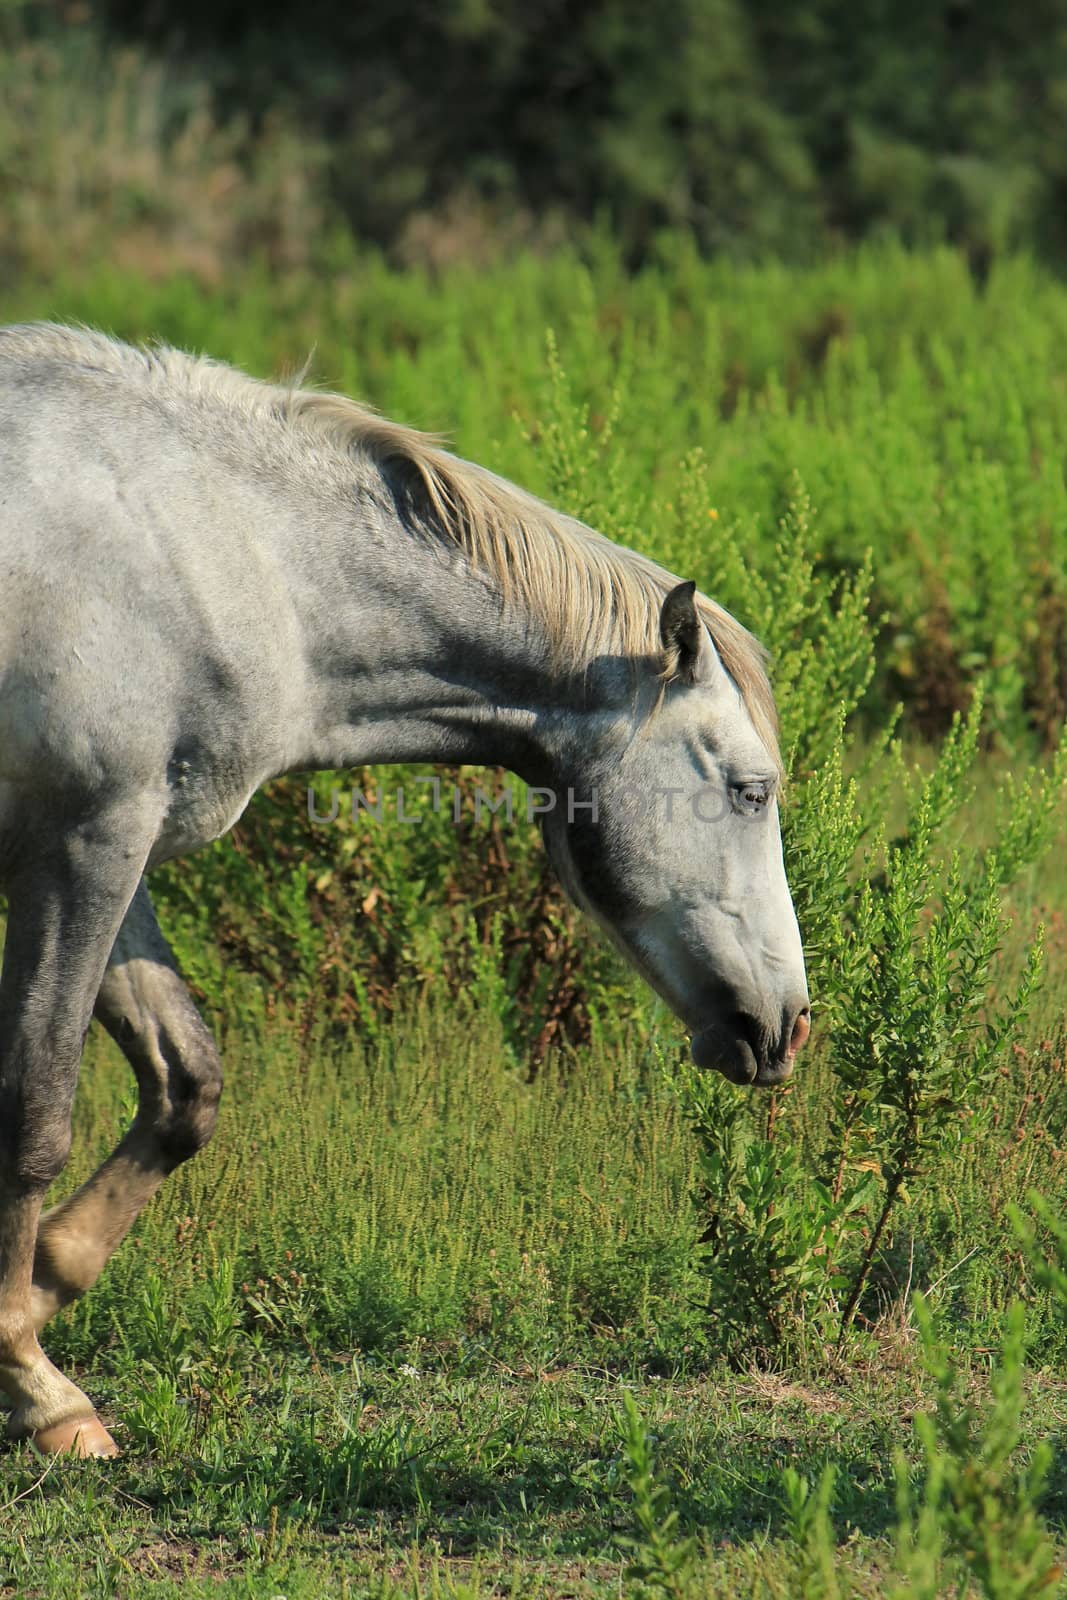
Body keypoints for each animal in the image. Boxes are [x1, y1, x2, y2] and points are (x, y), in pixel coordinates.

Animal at [0, 321, 806, 1452]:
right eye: (748, 789)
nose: (789, 1025)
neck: (227, 555)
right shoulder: (81, 847)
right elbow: (34, 1113)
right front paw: (34, 1384)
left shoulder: (113, 852)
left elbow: (186, 1085)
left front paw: (38, 1306)